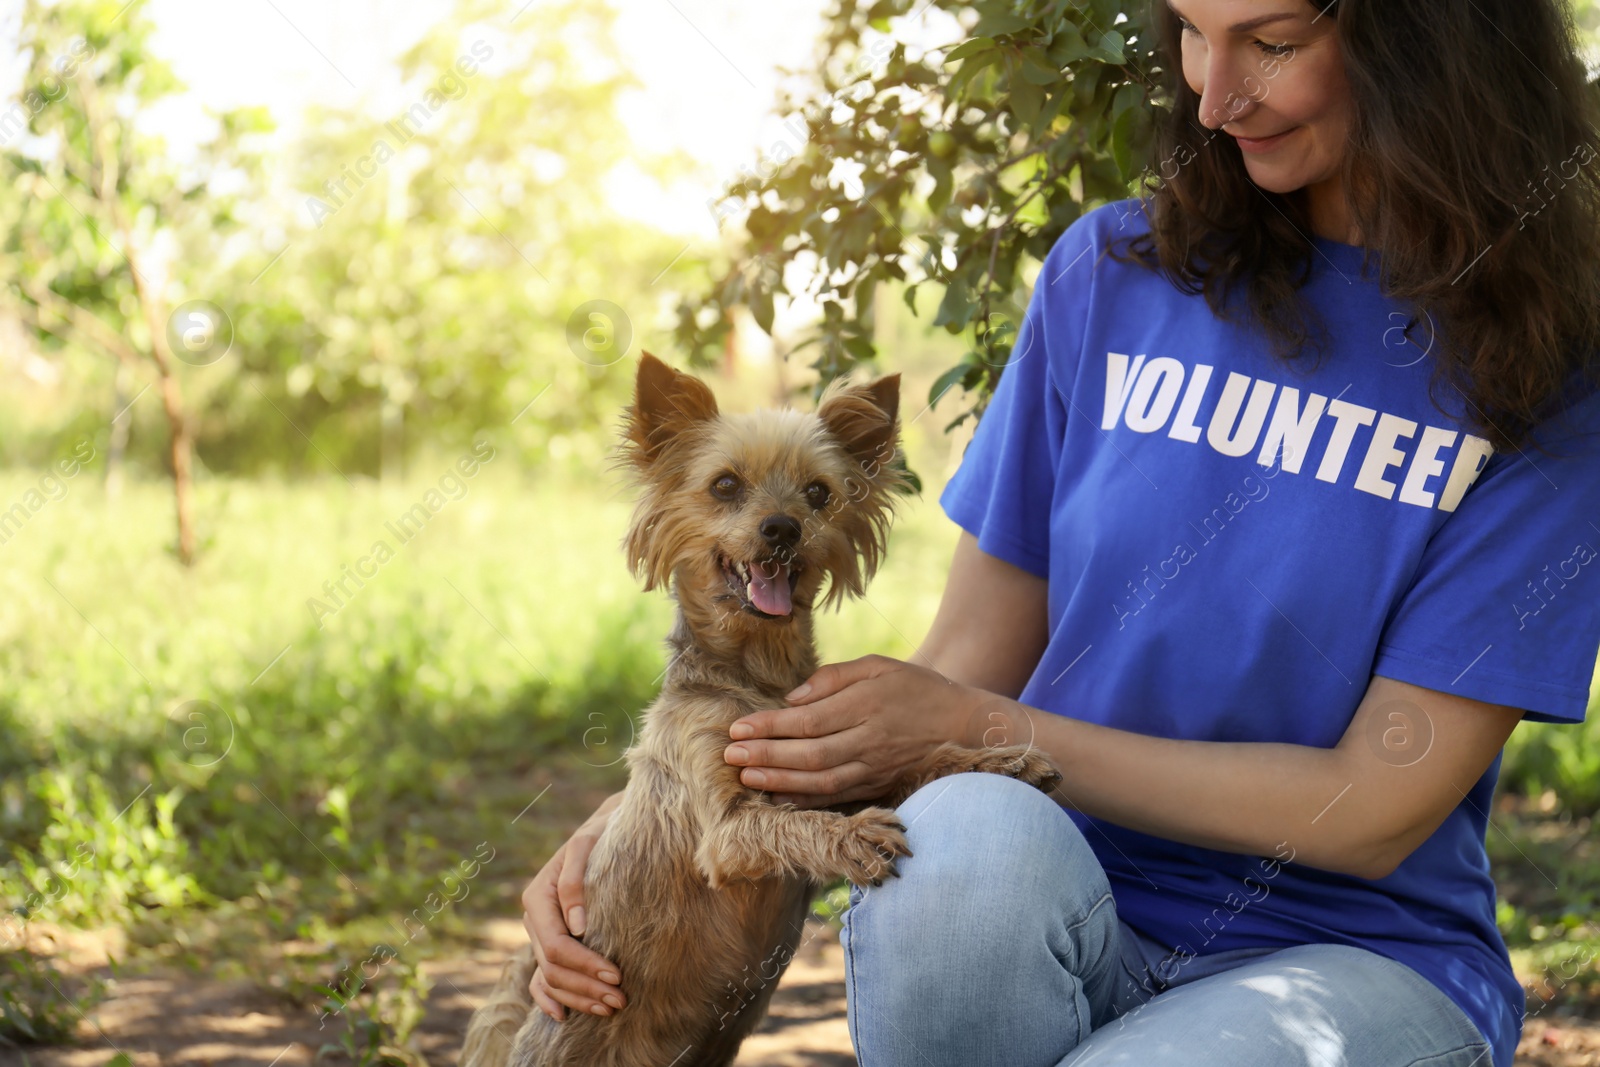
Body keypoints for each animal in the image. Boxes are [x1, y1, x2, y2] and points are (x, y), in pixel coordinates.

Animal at [464, 351, 1062, 1067]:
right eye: (725, 485)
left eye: (818, 493)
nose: (782, 528)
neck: (758, 675)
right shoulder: (725, 829)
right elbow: (788, 824)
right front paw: (854, 838)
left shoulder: (832, 772)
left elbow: (907, 767)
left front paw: (996, 760)